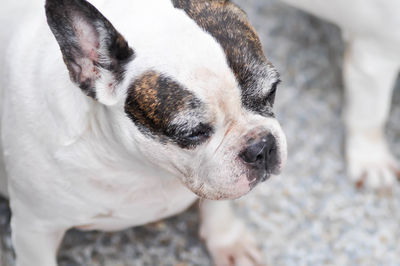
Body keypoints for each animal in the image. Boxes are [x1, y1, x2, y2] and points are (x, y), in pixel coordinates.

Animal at [0, 0, 288, 266]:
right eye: (193, 133)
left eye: (272, 91)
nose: (261, 147)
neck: (141, 166)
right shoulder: (35, 228)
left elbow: (219, 205)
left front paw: (228, 241)